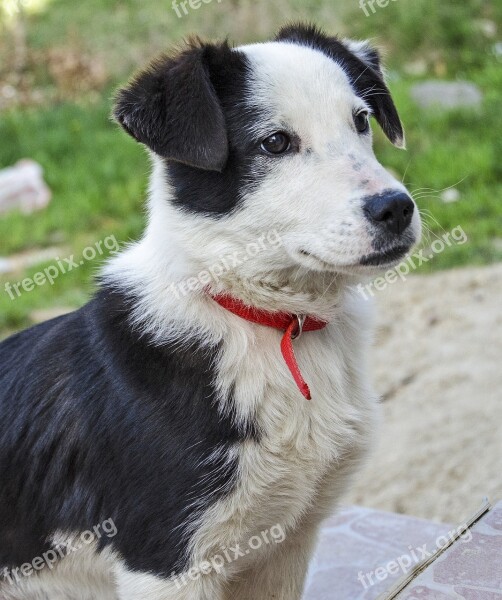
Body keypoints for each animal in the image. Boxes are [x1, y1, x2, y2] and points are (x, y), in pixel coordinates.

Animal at [0, 22, 420, 600]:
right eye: (275, 142)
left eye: (360, 121)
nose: (396, 208)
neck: (267, 320)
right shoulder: (165, 564)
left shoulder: (283, 547)